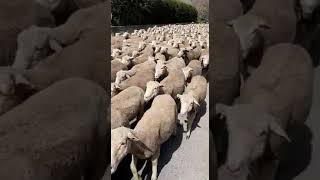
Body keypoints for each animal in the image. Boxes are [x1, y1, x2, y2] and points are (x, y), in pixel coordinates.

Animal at [215, 43, 312, 179]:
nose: (233, 168)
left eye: (262, 133)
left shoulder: (272, 158)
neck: (260, 103)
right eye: (228, 128)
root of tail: (293, 45)